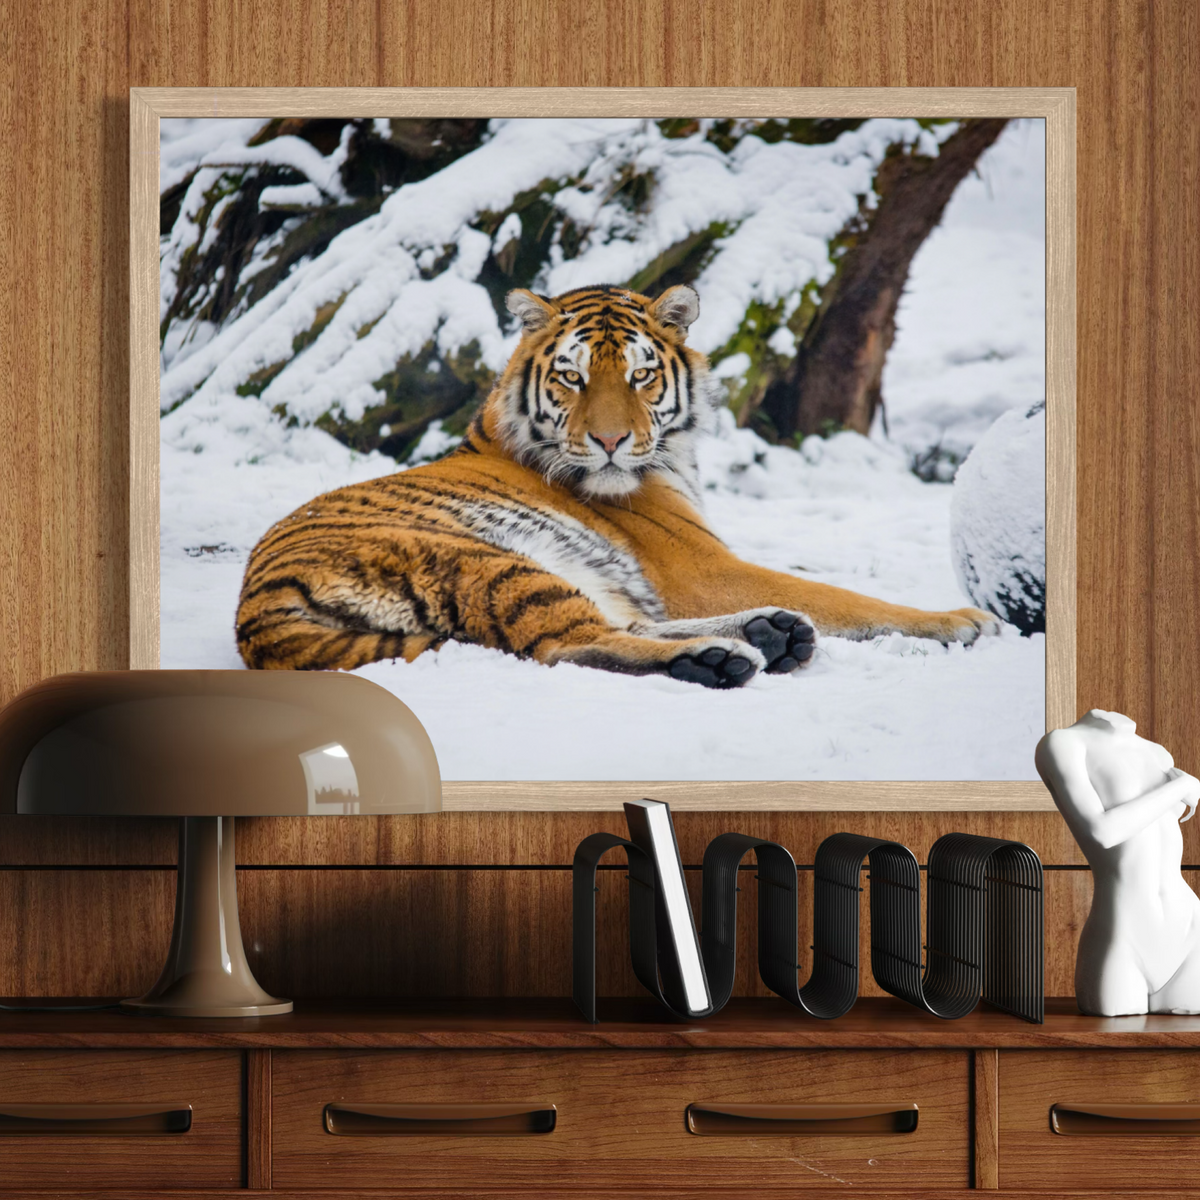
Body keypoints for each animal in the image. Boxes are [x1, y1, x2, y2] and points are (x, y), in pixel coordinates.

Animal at [236, 284, 998, 688]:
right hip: (487, 561)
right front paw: (962, 620)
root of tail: (258, 619)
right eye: (572, 377)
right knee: (565, 645)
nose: (609, 441)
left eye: (640, 375)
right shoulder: (704, 567)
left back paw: (770, 633)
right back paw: (720, 655)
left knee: (615, 621)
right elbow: (849, 597)